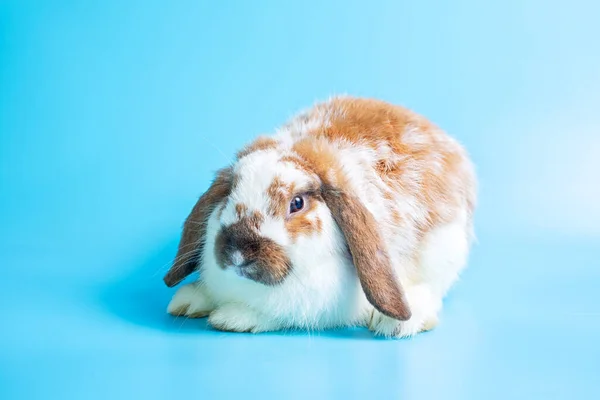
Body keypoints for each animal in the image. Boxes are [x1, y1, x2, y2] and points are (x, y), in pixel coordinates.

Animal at [162, 97, 476, 338]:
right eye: (228, 194)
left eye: (297, 203)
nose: (238, 253)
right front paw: (189, 300)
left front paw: (232, 316)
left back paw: (397, 323)